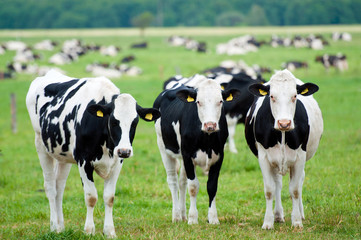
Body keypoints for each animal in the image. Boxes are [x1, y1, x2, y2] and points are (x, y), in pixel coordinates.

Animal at [25, 70, 160, 238]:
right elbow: (91, 197)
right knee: (50, 188)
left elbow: (109, 197)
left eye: (135, 122)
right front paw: (89, 230)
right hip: (41, 146)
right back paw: (54, 226)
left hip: (63, 155)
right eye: (113, 121)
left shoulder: (117, 163)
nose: (124, 151)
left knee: (59, 188)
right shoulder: (84, 162)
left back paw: (61, 227)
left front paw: (109, 231)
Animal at [152, 76, 239, 224]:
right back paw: (176, 216)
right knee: (173, 181)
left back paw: (182, 215)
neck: (207, 140)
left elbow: (212, 186)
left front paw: (213, 218)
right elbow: (193, 187)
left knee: (182, 182)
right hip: (163, 147)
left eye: (220, 101)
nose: (210, 125)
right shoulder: (188, 155)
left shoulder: (219, 157)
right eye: (198, 102)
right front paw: (193, 218)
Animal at [243, 69, 322, 229]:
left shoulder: (300, 157)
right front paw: (268, 222)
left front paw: (296, 221)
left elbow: (295, 190)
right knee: (277, 184)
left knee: (299, 181)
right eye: (272, 96)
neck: (283, 134)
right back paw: (278, 215)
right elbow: (269, 190)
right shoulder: (264, 157)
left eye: (295, 96)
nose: (284, 123)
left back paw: (300, 213)